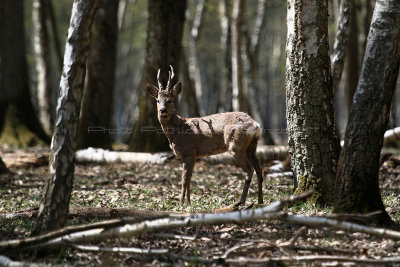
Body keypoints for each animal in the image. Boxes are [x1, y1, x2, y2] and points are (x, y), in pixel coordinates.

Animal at [146, 66, 262, 206]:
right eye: (158, 100)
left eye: (169, 100)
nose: (162, 110)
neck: (178, 131)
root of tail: (255, 125)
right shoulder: (194, 155)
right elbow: (189, 178)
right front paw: (189, 202)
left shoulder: (188, 151)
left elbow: (184, 179)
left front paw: (181, 203)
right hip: (252, 146)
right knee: (259, 170)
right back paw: (260, 200)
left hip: (236, 145)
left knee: (249, 170)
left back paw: (241, 201)